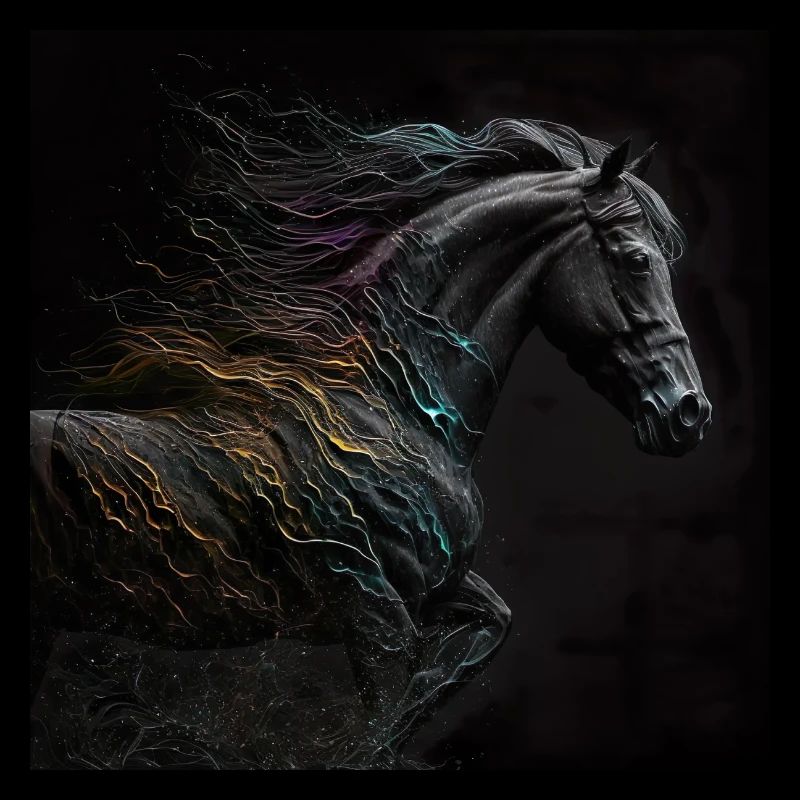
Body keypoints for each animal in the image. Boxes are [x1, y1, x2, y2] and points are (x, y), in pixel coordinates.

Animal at [30, 98, 711, 767]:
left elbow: (463, 655)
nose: (689, 413)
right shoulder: (375, 618)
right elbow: (385, 717)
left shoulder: (433, 597)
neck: (384, 411)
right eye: (638, 259)